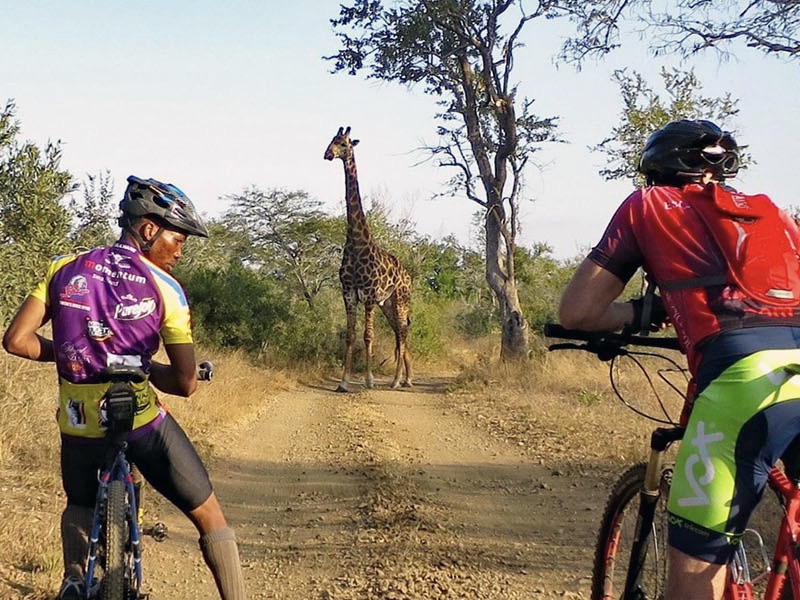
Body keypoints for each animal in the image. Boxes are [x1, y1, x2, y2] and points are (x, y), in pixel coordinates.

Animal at [324, 124, 412, 392]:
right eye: (331, 140)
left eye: (344, 143)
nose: (327, 155)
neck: (356, 242)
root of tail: (409, 275)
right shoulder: (349, 293)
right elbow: (351, 335)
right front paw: (343, 382)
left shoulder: (370, 295)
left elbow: (368, 336)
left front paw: (369, 380)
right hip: (388, 304)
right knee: (399, 332)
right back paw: (407, 378)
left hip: (400, 299)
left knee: (403, 331)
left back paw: (396, 380)